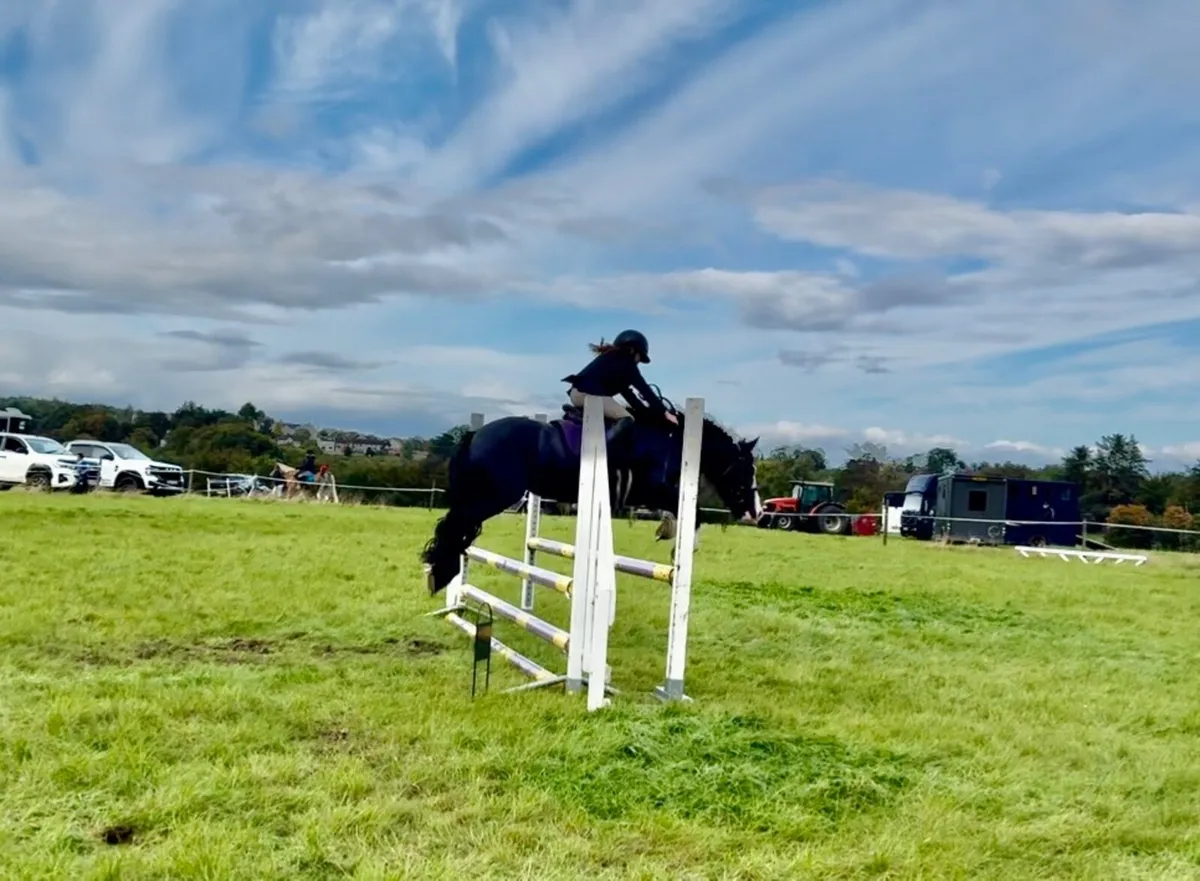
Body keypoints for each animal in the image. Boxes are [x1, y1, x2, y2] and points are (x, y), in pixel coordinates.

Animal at [422, 401, 763, 595]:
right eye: (747, 470)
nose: (756, 513)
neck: (670, 441)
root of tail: (475, 434)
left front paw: (667, 532)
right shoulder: (654, 489)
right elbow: (695, 515)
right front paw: (681, 549)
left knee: (456, 527)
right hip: (493, 496)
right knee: (455, 526)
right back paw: (439, 573)